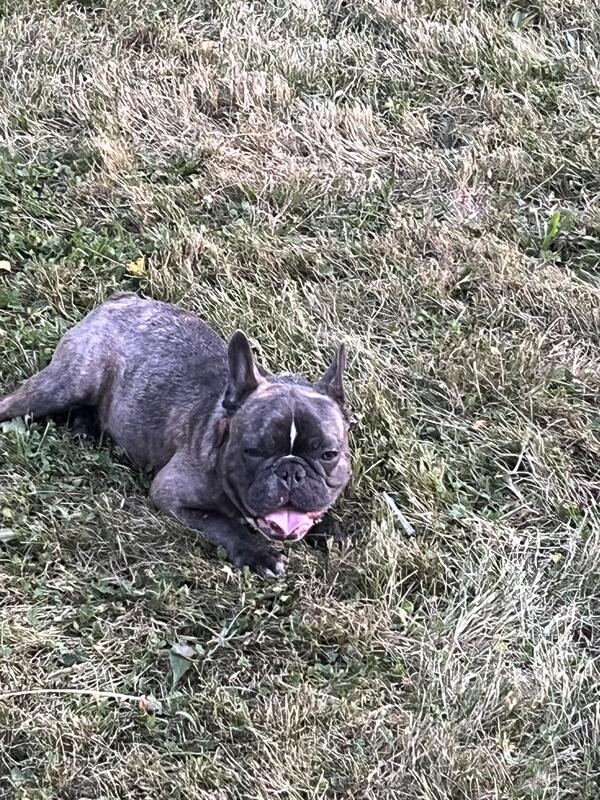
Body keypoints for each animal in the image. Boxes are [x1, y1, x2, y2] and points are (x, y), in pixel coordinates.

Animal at [0, 293, 351, 575]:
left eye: (329, 455)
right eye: (253, 451)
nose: (291, 471)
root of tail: (122, 299)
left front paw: (331, 530)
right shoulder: (170, 494)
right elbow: (222, 524)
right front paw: (258, 554)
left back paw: (85, 428)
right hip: (66, 383)